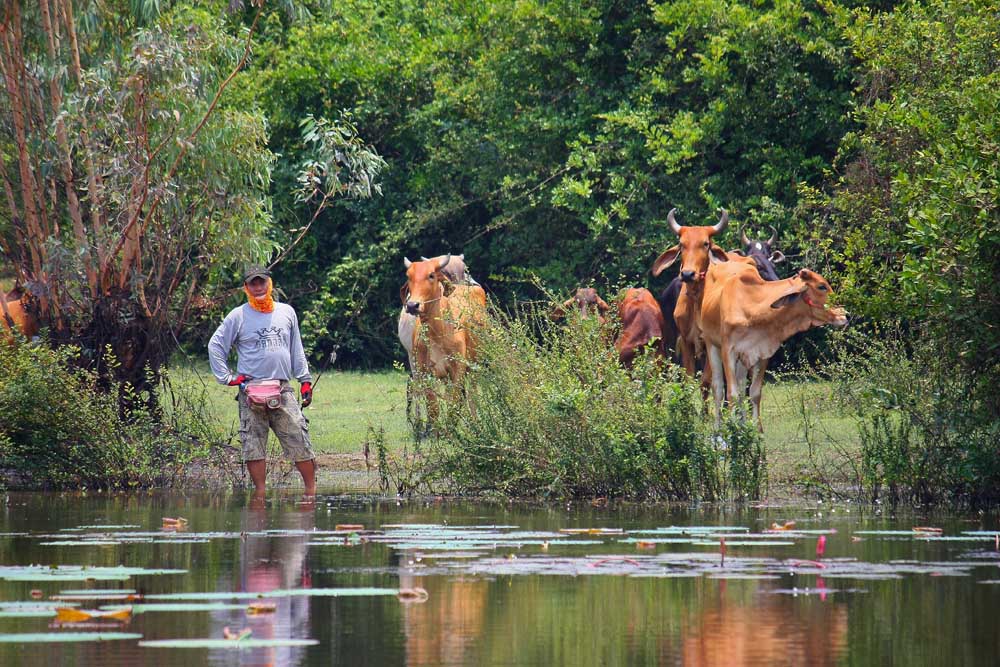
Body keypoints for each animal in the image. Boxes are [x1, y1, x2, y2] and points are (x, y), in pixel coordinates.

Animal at [402, 256, 488, 422]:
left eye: (431, 275)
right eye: (408, 276)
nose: (412, 305)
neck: (437, 332)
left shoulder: (457, 370)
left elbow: (453, 409)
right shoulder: (426, 373)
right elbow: (434, 411)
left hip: (475, 366)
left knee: (472, 395)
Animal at [648, 207, 728, 380]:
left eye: (705, 244)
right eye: (681, 244)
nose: (687, 274)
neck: (696, 302)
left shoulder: (712, 344)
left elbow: (706, 380)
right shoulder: (686, 341)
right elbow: (689, 376)